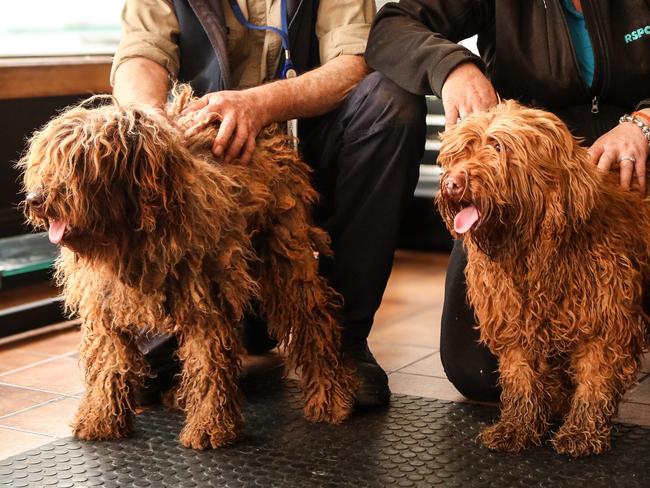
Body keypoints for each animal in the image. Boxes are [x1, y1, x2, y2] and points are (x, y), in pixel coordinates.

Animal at [20, 85, 356, 450]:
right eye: (46, 158)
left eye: (79, 160)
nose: (36, 199)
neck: (129, 235)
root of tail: (271, 137)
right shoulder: (105, 304)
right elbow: (109, 363)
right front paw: (100, 419)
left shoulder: (204, 301)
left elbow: (208, 361)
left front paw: (209, 426)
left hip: (285, 256)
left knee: (314, 322)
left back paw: (330, 397)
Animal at [432, 101, 648, 456]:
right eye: (462, 149)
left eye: (498, 146)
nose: (452, 182)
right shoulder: (514, 321)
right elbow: (521, 378)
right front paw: (517, 427)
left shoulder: (603, 323)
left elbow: (595, 380)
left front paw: (581, 431)